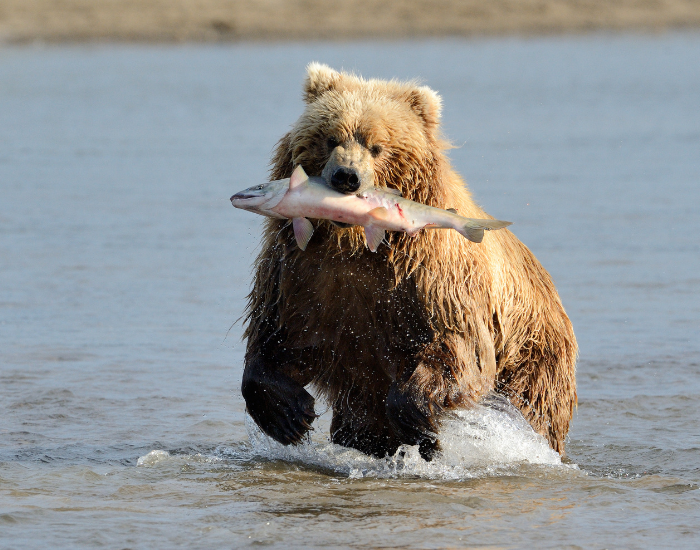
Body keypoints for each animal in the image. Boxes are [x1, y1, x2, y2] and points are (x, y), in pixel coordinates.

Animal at [241, 63, 577, 460]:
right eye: (331, 138)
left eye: (377, 146)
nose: (346, 177)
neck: (353, 244)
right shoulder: (303, 270)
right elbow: (281, 330)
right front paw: (289, 414)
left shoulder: (430, 277)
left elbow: (456, 347)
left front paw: (417, 419)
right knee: (360, 421)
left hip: (534, 354)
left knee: (532, 407)